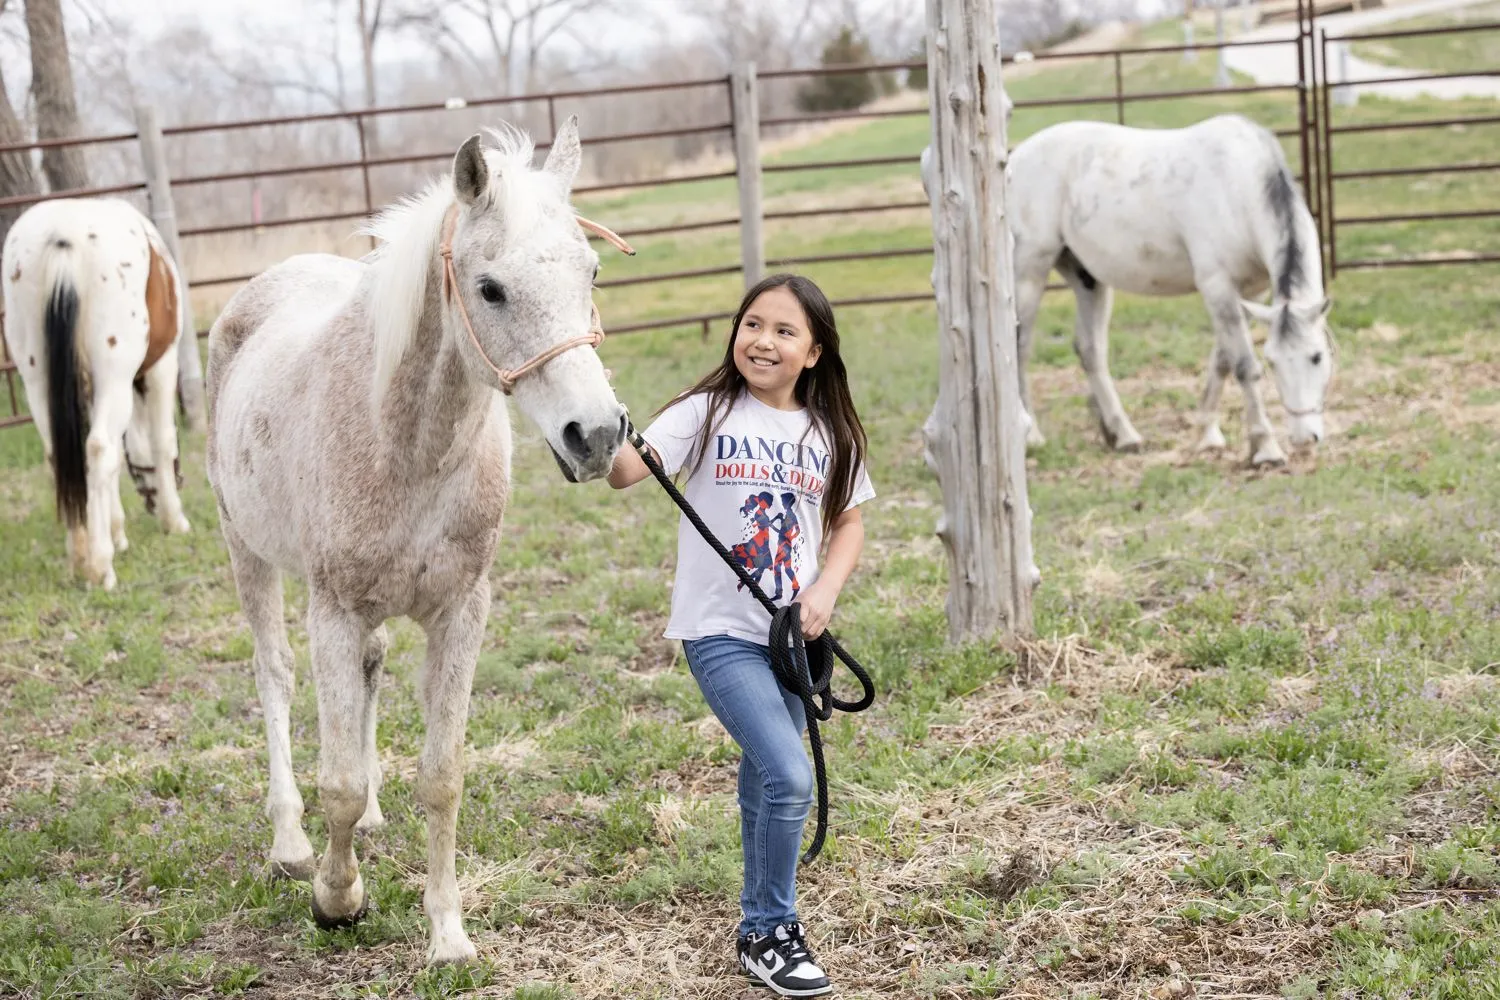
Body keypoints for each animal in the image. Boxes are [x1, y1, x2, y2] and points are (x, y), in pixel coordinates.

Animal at [2, 197, 192, 590]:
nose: (152, 502)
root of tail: (63, 236)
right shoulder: (161, 367)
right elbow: (159, 441)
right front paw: (173, 519)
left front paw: (116, 532)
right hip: (115, 372)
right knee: (99, 447)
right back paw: (100, 565)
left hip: (36, 379)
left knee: (61, 454)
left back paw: (79, 555)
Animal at [204, 117, 631, 965]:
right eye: (490, 288)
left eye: (593, 272)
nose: (596, 435)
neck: (404, 445)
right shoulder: (331, 612)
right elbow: (335, 779)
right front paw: (337, 898)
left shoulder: (461, 612)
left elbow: (441, 777)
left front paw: (447, 934)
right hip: (248, 553)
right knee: (274, 676)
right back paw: (291, 845)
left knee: (371, 673)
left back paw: (369, 818)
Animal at [923, 113, 1333, 466]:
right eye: (1274, 362)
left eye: (1317, 357)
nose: (1304, 437)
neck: (1238, 188)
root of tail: (1010, 162)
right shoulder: (1217, 286)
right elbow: (1243, 365)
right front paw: (1265, 447)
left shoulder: (1249, 294)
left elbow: (1221, 359)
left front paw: (1206, 435)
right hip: (1028, 272)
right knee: (1018, 349)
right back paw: (1033, 435)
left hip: (1087, 279)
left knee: (1090, 350)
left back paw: (1123, 434)